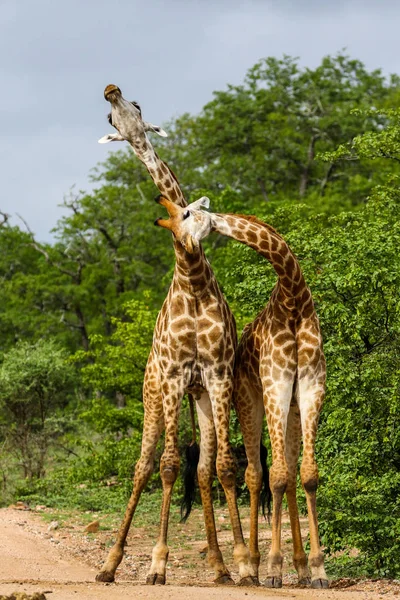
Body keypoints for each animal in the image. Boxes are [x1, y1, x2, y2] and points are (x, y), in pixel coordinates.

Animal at [95, 88, 256, 584]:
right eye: (111, 118)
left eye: (137, 107)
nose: (110, 90)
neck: (194, 279)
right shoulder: (172, 376)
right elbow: (166, 468)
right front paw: (157, 563)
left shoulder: (217, 374)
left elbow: (223, 467)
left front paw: (242, 563)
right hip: (153, 396)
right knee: (144, 466)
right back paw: (110, 564)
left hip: (198, 396)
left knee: (201, 469)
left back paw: (220, 564)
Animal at [155, 195, 328, 588]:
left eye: (186, 212)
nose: (188, 245)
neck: (294, 297)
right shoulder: (276, 382)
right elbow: (274, 476)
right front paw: (274, 568)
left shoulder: (312, 385)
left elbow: (308, 475)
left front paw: (319, 569)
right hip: (250, 401)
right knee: (257, 473)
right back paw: (256, 564)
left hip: (290, 406)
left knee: (286, 471)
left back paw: (298, 567)